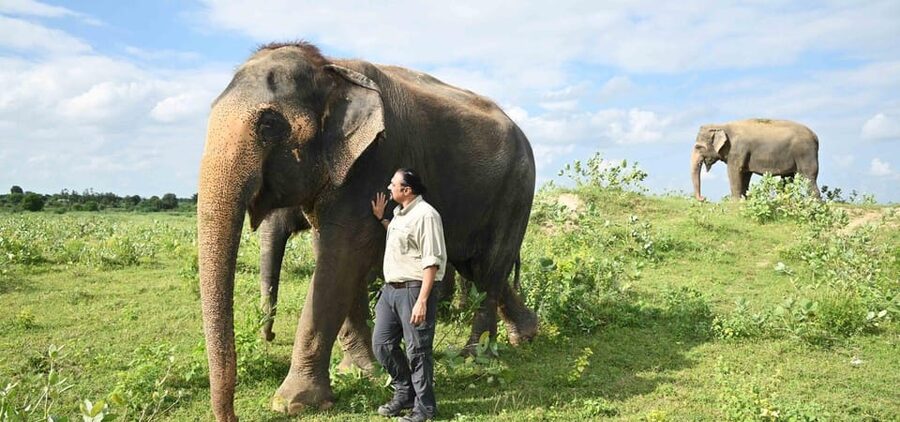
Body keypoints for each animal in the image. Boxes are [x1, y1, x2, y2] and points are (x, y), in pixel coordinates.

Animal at [197, 41, 538, 420]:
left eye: (268, 125)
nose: (232, 415)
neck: (332, 68)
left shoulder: (376, 159)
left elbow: (342, 256)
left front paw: (294, 402)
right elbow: (336, 257)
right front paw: (361, 371)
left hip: (517, 191)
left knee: (491, 266)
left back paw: (475, 355)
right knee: (477, 266)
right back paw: (524, 335)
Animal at [690, 118, 820, 201]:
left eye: (698, 147)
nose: (703, 198)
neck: (722, 126)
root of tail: (816, 137)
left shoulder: (737, 150)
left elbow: (734, 172)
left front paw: (734, 205)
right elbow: (745, 175)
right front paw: (744, 201)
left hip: (805, 153)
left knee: (809, 177)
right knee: (787, 179)